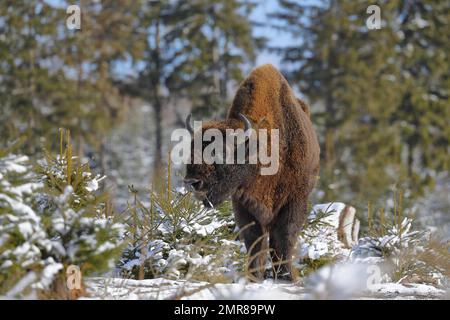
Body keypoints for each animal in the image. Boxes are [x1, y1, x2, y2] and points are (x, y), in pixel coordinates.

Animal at [183, 64, 320, 280]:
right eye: (191, 149)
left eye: (222, 152)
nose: (192, 182)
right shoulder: (243, 204)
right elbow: (254, 241)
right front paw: (254, 276)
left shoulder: (295, 199)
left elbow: (285, 236)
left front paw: (286, 276)